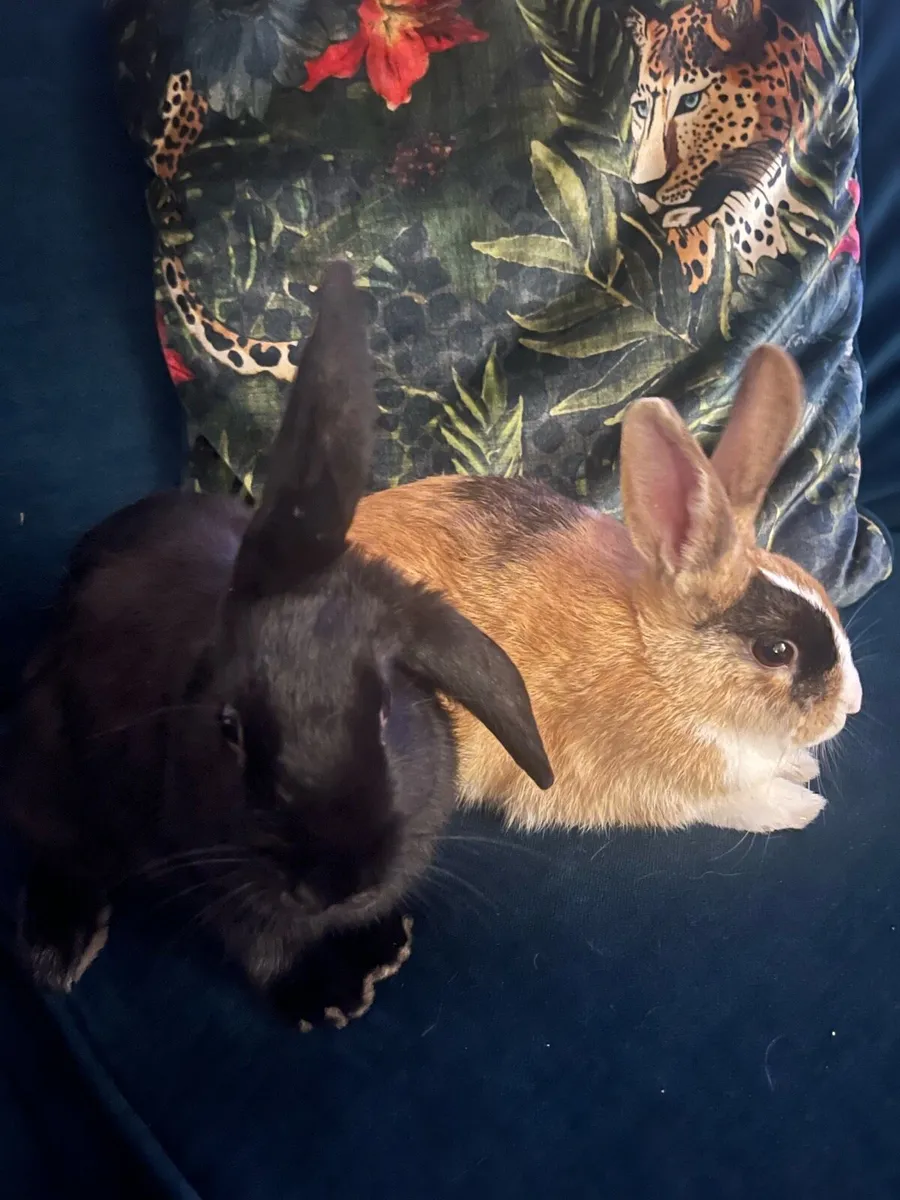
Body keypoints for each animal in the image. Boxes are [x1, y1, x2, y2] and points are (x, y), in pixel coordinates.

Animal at [2, 262, 552, 1026]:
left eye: (387, 713)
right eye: (229, 729)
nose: (338, 880)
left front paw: (382, 944)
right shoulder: (217, 875)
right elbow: (262, 946)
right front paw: (331, 996)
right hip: (45, 772)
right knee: (56, 852)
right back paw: (60, 948)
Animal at [349, 346, 863, 836]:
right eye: (775, 651)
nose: (851, 706)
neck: (659, 665)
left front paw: (800, 767)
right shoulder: (648, 789)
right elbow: (734, 803)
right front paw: (800, 805)